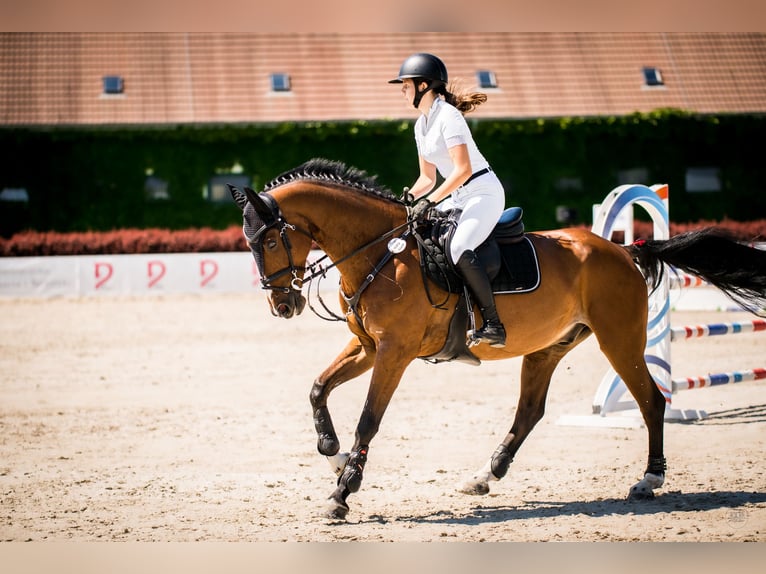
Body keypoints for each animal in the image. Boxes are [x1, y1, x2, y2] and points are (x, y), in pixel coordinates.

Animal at [228, 158, 766, 520]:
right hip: (549, 347)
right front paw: (332, 451)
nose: (283, 306)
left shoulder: (394, 353)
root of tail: (621, 249)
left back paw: (649, 479)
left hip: (619, 339)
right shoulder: (368, 347)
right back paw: (484, 476)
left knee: (652, 400)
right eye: (249, 243)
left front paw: (343, 492)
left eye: (270, 239)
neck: (381, 253)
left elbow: (368, 420)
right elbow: (318, 389)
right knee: (529, 412)